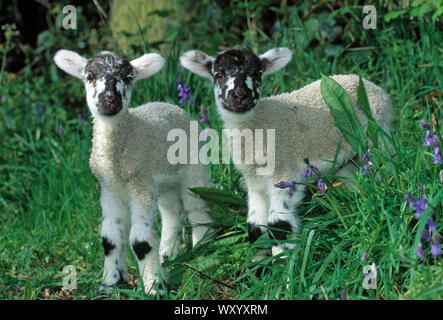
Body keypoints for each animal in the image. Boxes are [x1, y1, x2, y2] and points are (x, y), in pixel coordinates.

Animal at [54, 49, 214, 296]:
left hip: (192, 165)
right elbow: (110, 239)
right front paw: (110, 284)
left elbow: (141, 241)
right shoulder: (109, 189)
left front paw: (154, 287)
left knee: (197, 207)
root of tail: (170, 105)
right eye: (90, 76)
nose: (110, 99)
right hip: (162, 181)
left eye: (128, 77)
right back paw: (167, 254)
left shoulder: (140, 183)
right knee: (173, 212)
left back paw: (202, 248)